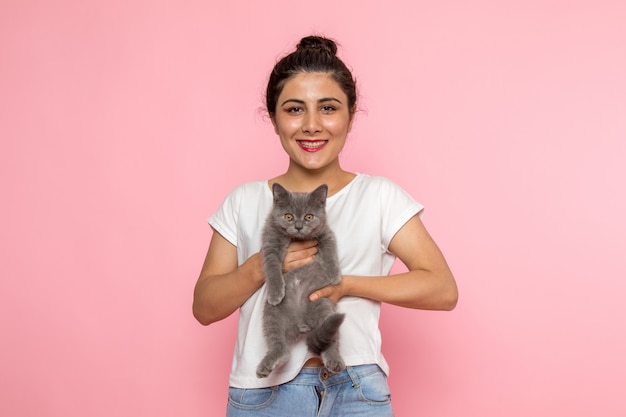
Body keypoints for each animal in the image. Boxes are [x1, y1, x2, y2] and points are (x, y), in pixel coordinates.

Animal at [255, 182, 346, 376]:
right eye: (288, 216)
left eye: (309, 216)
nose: (298, 226)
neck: (296, 238)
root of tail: (301, 325)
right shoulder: (270, 241)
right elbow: (272, 267)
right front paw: (275, 292)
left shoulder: (326, 233)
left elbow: (330, 250)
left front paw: (334, 274)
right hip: (271, 315)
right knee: (279, 346)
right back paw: (269, 363)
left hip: (323, 306)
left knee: (331, 340)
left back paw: (334, 360)